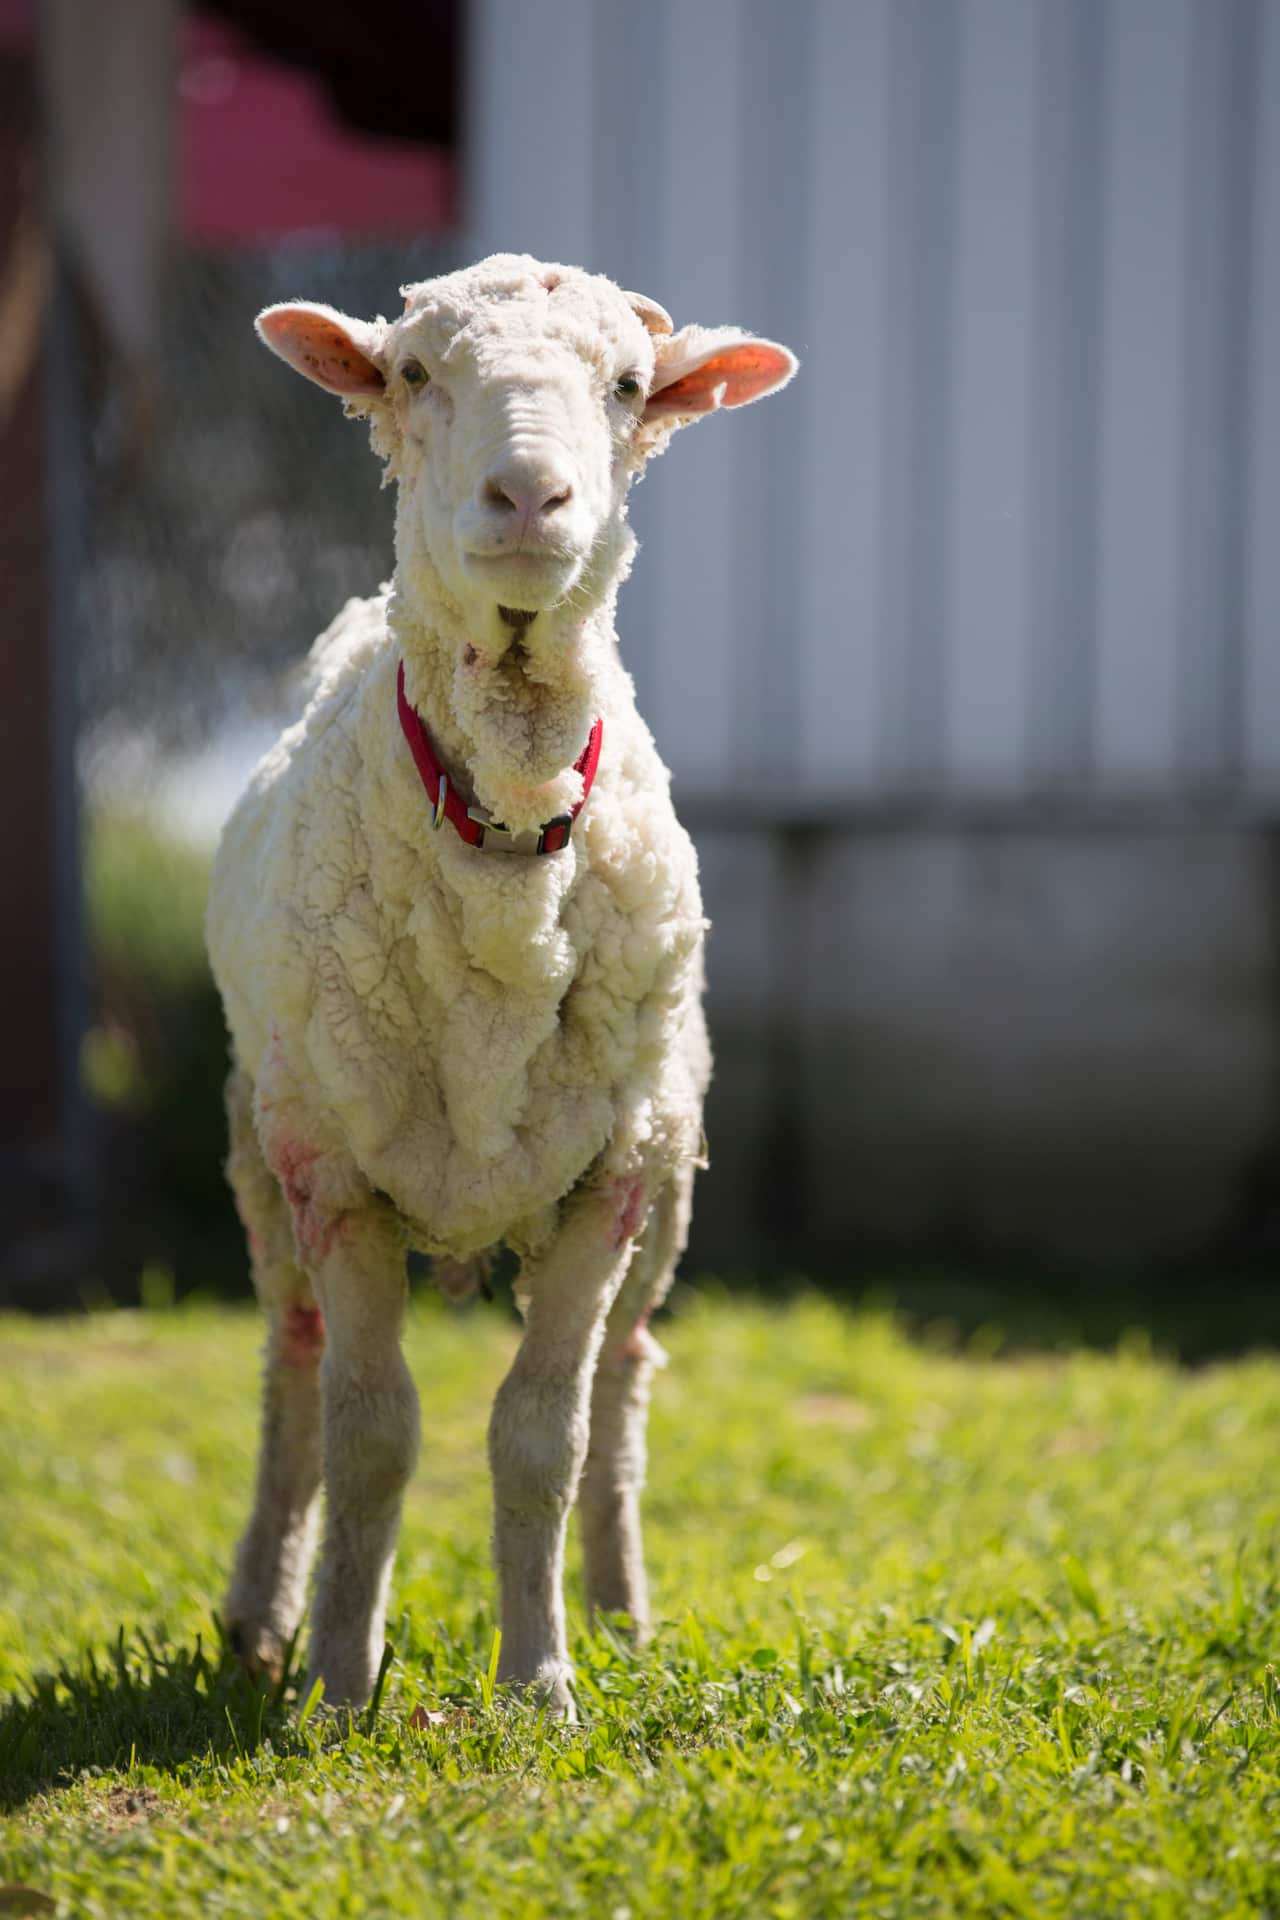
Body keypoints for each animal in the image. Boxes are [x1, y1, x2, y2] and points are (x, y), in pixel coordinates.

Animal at [207, 254, 797, 1717]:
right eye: (416, 372)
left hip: (670, 1174)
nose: (530, 497)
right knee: (290, 1369)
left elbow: (542, 1434)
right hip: (260, 1150)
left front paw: (541, 1679)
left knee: (626, 1379)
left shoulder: (612, 1180)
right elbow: (370, 1436)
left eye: (632, 384)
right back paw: (261, 1613)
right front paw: (338, 1684)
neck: (507, 843)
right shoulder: (335, 1177)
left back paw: (623, 1610)